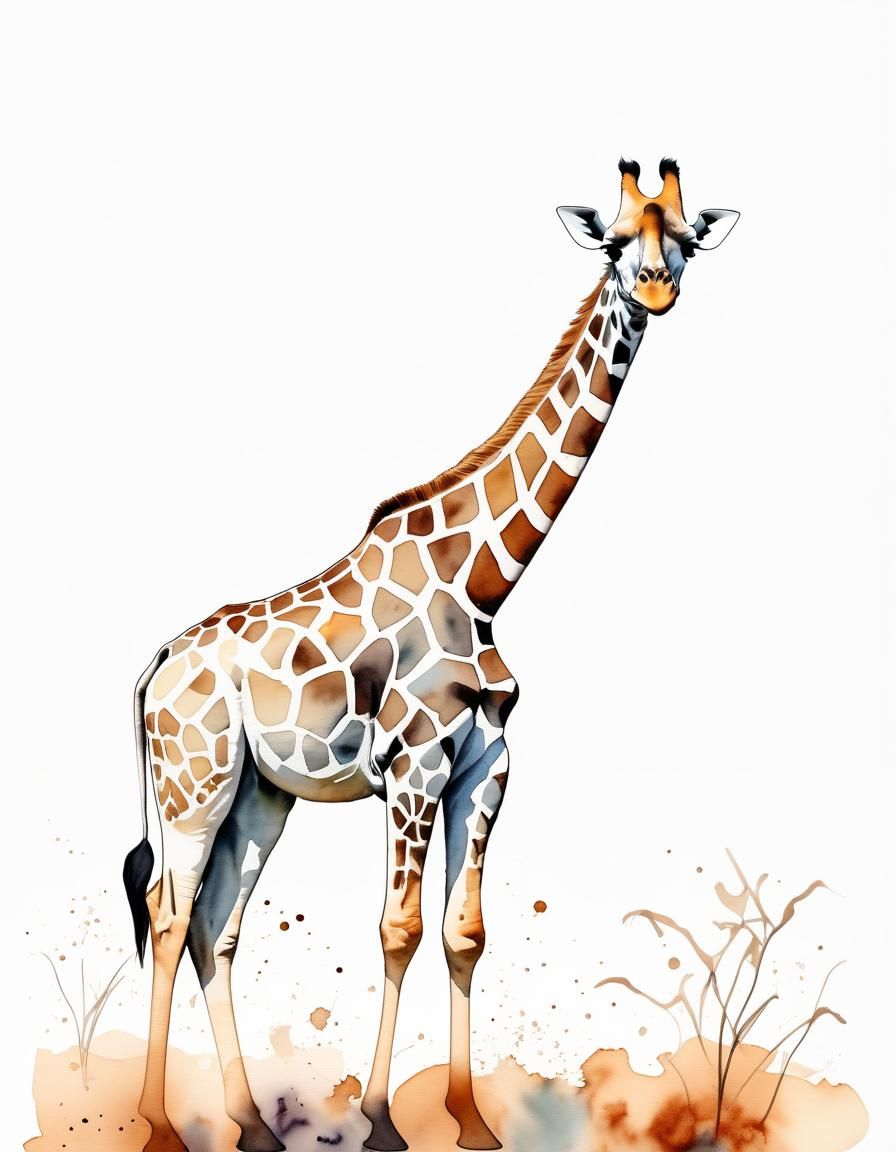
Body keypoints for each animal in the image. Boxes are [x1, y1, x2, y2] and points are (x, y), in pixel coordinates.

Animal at [123, 157, 738, 1152]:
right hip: (194, 780)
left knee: (217, 924)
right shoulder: (415, 765)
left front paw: (471, 1118)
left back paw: (252, 1123)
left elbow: (464, 932)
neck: (486, 577)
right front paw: (381, 1119)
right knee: (169, 914)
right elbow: (399, 927)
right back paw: (158, 1123)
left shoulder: (487, 763)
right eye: (614, 242)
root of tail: (159, 663)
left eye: (683, 239)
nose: (654, 287)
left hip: (259, 795)